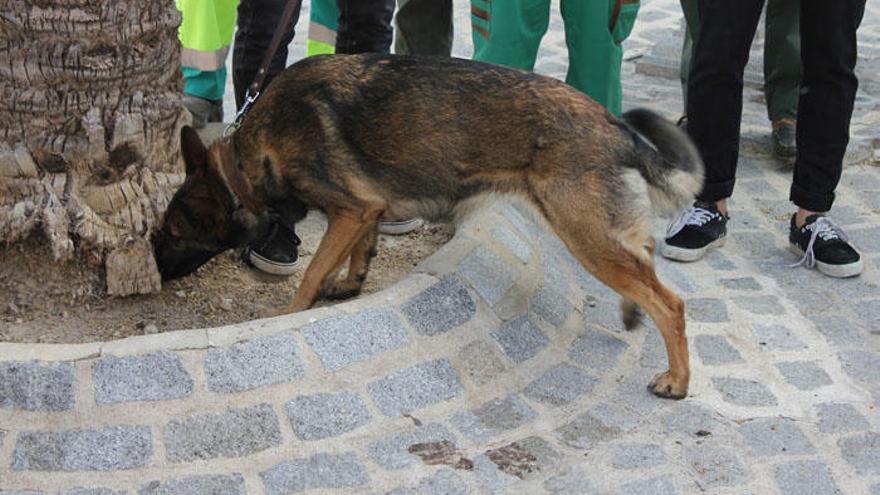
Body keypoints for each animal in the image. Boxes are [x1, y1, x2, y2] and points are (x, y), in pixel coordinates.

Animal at [151, 54, 700, 400]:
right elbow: (358, 251)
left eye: (172, 233)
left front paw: (289, 313)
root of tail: (615, 125)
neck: (244, 163)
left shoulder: (350, 209)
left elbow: (311, 273)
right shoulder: (366, 211)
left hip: (587, 237)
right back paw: (632, 311)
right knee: (644, 258)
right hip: (602, 233)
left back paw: (676, 381)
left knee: (670, 302)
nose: (153, 273)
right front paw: (350, 283)